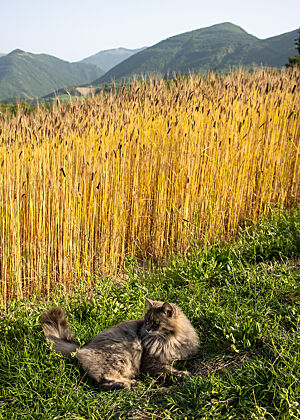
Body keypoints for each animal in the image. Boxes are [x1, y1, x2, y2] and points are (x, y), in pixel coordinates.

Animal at [39, 298, 199, 390]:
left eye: (155, 323)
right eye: (146, 320)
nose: (147, 329)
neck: (169, 340)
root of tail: (83, 347)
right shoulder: (151, 364)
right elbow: (169, 371)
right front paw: (184, 374)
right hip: (119, 357)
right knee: (103, 381)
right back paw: (128, 383)